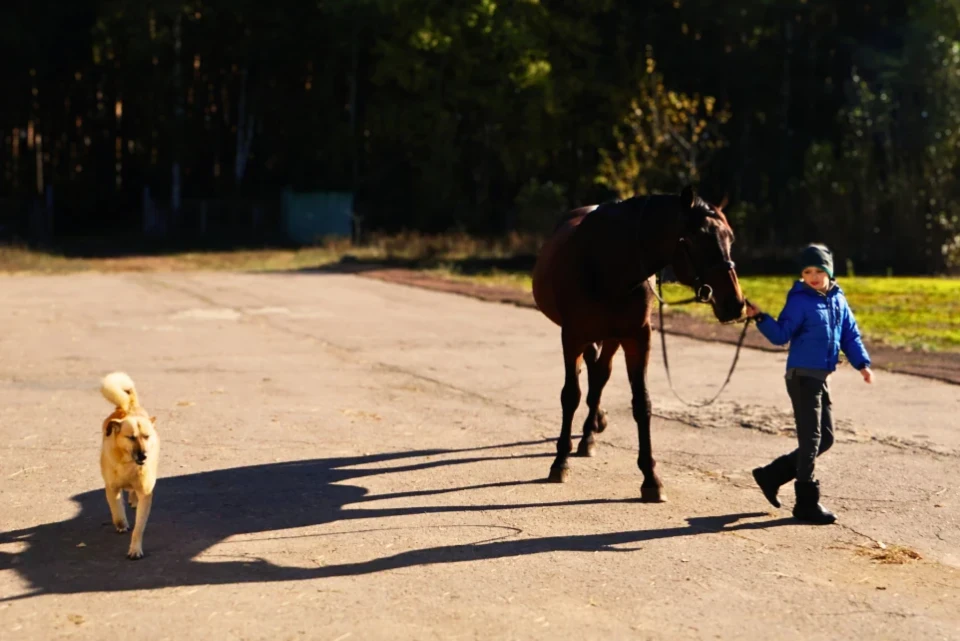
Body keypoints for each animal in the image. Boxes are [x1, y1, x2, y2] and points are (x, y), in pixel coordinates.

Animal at [100, 372, 159, 556]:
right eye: (131, 437)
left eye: (146, 436)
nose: (144, 456)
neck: (128, 463)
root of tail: (128, 407)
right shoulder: (111, 488)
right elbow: (117, 510)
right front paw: (121, 524)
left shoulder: (146, 494)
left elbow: (139, 528)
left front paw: (135, 549)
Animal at [528, 185, 748, 500]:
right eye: (697, 239)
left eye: (730, 238)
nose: (735, 304)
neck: (605, 263)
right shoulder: (571, 336)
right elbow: (570, 395)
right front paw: (560, 462)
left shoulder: (637, 337)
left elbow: (641, 402)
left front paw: (651, 477)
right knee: (592, 377)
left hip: (612, 338)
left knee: (599, 377)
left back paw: (590, 433)